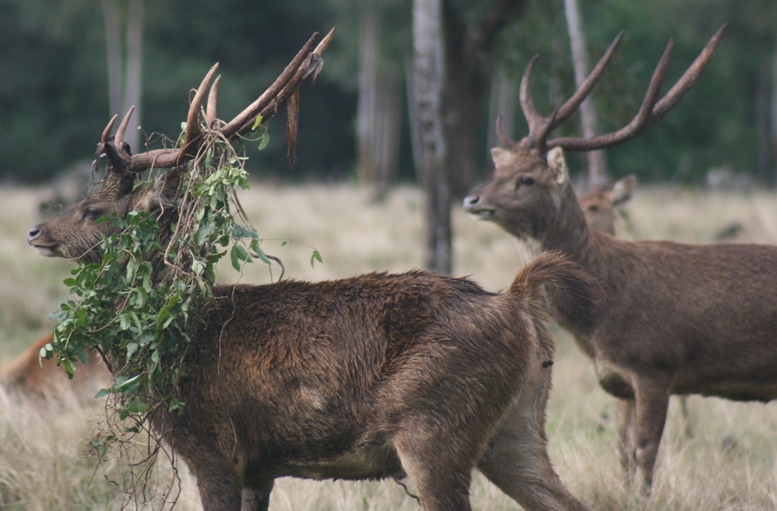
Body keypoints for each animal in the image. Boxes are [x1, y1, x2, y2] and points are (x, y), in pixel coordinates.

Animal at [27, 30, 601, 511]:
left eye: (93, 211)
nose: (35, 232)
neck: (174, 345)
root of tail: (517, 303)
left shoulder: (215, 449)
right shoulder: (259, 469)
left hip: (437, 427)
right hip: (518, 429)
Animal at [461, 25, 777, 493]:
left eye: (527, 178)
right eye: (499, 169)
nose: (472, 199)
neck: (598, 319)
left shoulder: (656, 364)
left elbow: (645, 454)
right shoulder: (618, 382)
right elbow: (623, 457)